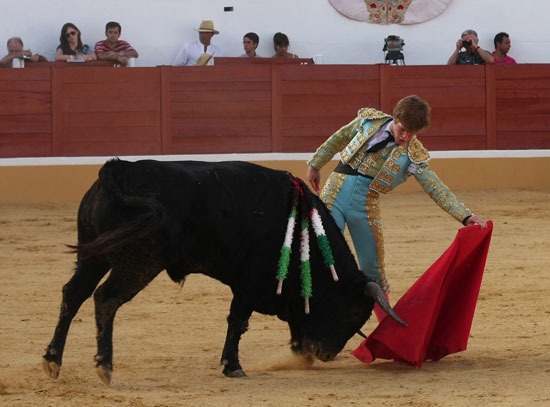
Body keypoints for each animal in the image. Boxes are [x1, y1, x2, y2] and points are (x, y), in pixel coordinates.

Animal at [42, 160, 406, 386]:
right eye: (354, 312)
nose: (326, 355)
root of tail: (118, 169)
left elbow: (285, 318)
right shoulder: (251, 283)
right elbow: (238, 321)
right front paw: (233, 366)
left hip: (94, 252)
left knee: (73, 294)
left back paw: (53, 360)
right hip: (139, 261)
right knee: (106, 299)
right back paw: (104, 365)